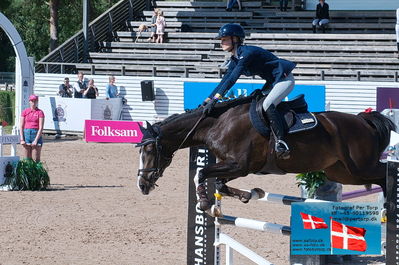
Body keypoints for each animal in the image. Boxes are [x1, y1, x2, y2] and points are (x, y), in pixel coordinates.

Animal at [136, 96, 396, 213]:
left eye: (149, 150)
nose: (142, 185)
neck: (217, 124)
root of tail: (363, 120)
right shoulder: (237, 167)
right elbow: (219, 183)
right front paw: (249, 194)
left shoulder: (239, 165)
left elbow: (201, 173)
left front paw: (204, 201)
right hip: (343, 172)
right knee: (377, 178)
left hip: (360, 166)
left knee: (387, 173)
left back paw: (388, 207)